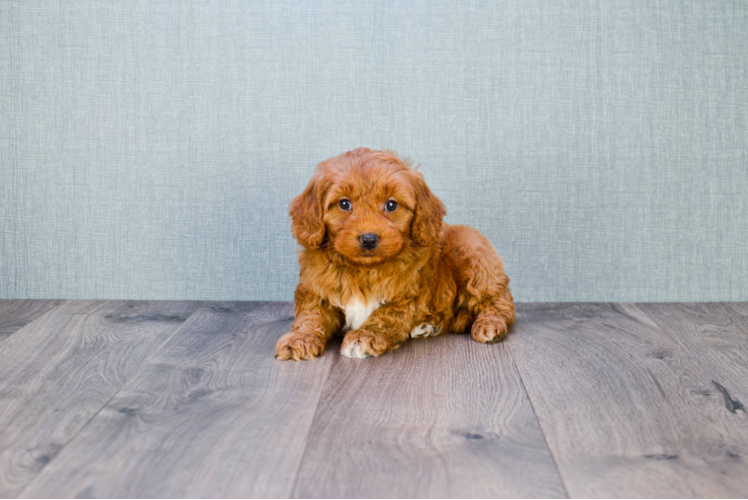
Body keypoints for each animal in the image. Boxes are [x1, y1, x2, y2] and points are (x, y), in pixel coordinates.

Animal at [274, 148, 516, 360]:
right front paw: (299, 339)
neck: (364, 270)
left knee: (499, 301)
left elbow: (385, 315)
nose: (368, 239)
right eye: (344, 204)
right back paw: (428, 327)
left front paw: (363, 337)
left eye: (391, 205)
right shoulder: (316, 290)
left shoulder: (408, 297)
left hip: (470, 251)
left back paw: (490, 325)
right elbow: (310, 315)